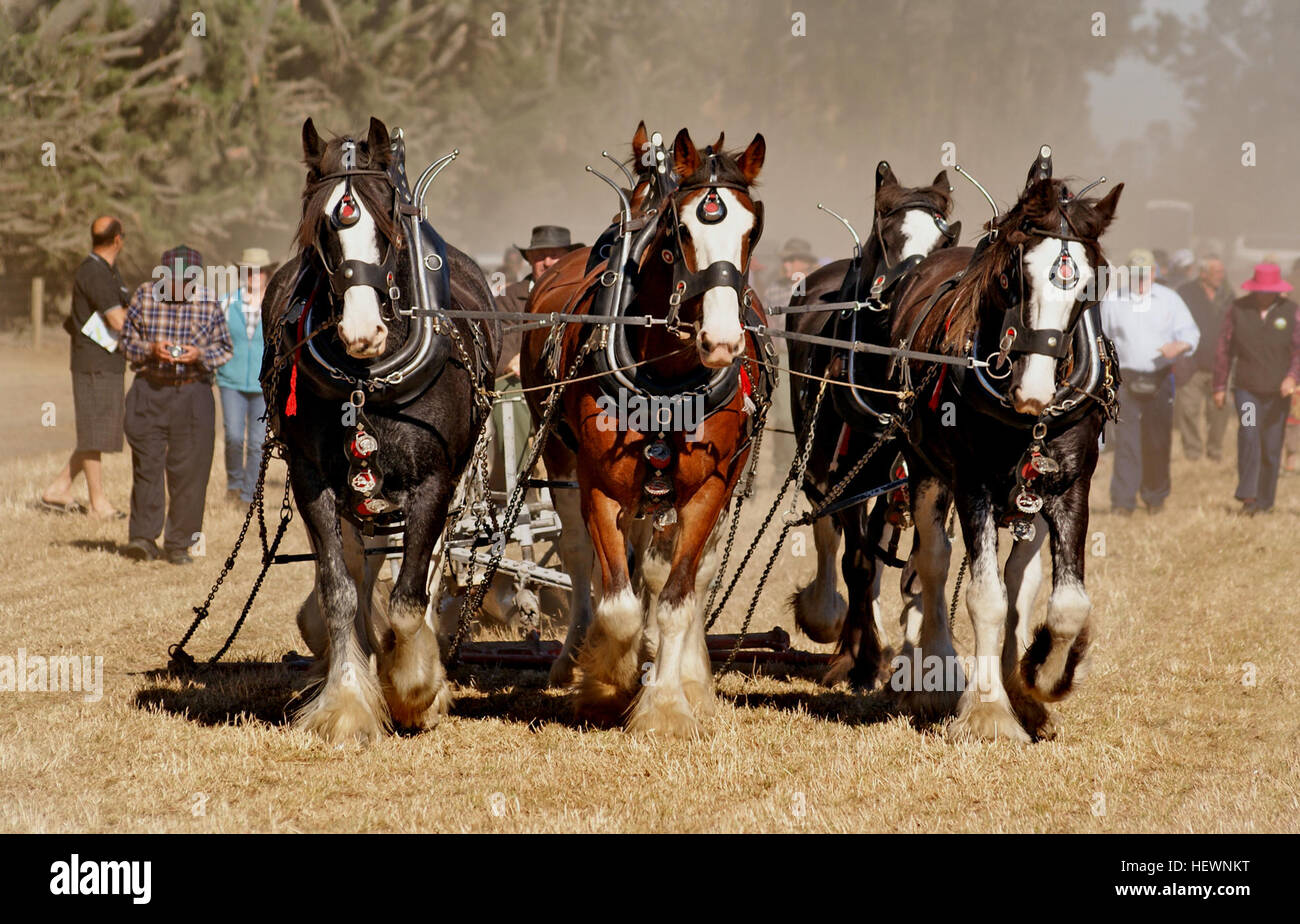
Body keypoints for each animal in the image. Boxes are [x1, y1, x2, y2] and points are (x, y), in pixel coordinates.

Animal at [262, 117, 496, 743]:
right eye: (321, 229)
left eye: (388, 226)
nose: (361, 331)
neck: (368, 380)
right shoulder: (313, 480)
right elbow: (340, 591)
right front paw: (347, 702)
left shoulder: (434, 482)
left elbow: (411, 597)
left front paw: (415, 689)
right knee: (360, 567)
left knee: (425, 570)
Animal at [520, 128, 769, 738]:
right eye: (680, 230)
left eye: (752, 228)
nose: (722, 340)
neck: (668, 373)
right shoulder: (601, 485)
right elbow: (617, 602)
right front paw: (608, 683)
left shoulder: (709, 487)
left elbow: (677, 597)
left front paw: (669, 704)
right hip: (562, 459)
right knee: (582, 556)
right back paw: (575, 658)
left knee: (681, 574)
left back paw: (689, 677)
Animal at [780, 164, 956, 686]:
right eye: (887, 234)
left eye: (946, 241)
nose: (911, 291)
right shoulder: (854, 472)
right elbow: (855, 560)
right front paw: (858, 656)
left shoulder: (918, 472)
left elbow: (908, 560)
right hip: (821, 461)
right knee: (830, 532)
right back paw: (829, 616)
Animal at [889, 148, 1123, 743]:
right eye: (1015, 274)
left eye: (1090, 286)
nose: (1035, 391)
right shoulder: (971, 483)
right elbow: (986, 598)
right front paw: (989, 712)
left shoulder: (1070, 486)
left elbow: (1064, 602)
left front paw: (1041, 675)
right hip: (925, 471)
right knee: (933, 561)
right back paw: (938, 676)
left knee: (1021, 577)